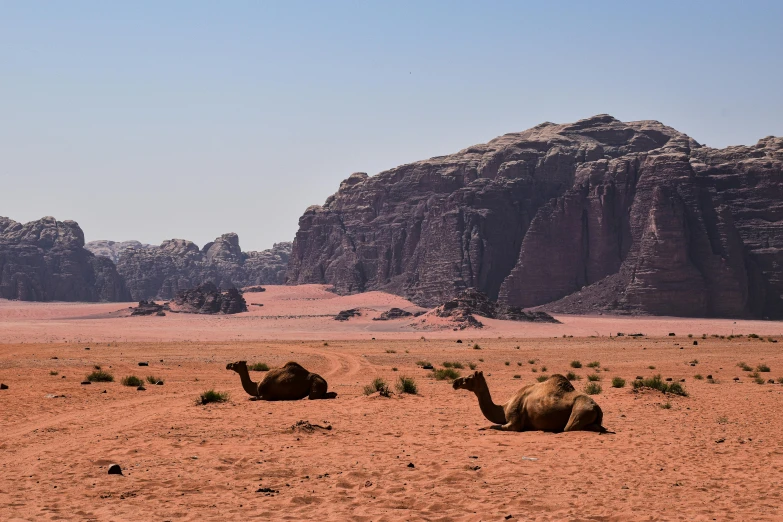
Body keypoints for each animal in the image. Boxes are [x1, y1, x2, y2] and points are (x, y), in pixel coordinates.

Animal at [454, 370, 608, 430]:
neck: (504, 407)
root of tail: (597, 407)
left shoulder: (514, 423)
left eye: (468, 378)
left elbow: (493, 426)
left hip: (579, 412)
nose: (455, 382)